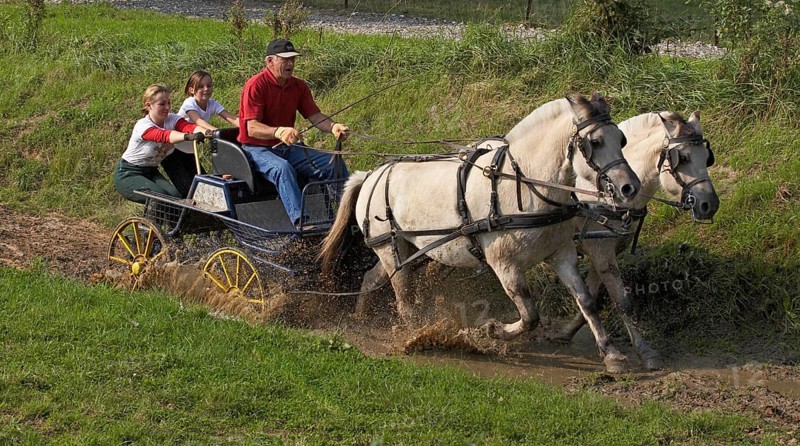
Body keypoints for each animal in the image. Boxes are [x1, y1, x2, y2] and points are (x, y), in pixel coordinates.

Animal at [321, 93, 642, 372]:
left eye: (622, 139)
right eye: (595, 142)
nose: (629, 187)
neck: (524, 186)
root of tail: (369, 175)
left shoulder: (561, 254)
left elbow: (585, 301)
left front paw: (611, 354)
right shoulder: (504, 264)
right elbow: (530, 316)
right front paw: (491, 330)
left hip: (404, 249)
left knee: (372, 278)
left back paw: (361, 318)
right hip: (390, 247)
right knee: (403, 298)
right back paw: (414, 335)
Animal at [553, 111, 720, 370]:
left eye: (706, 157)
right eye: (683, 158)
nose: (709, 204)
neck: (605, 196)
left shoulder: (601, 255)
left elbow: (590, 297)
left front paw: (567, 333)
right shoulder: (602, 254)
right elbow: (622, 302)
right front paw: (643, 351)